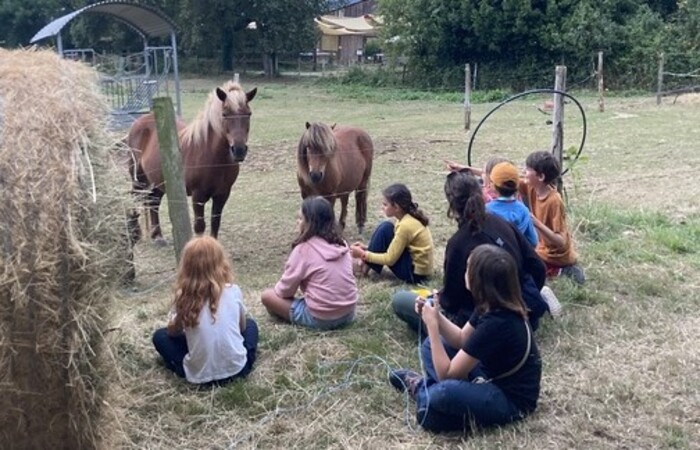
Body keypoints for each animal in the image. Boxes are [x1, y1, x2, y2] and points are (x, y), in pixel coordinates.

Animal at [127, 81, 256, 243]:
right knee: (136, 199)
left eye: (249, 114)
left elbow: (215, 222)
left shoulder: (222, 194)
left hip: (158, 180)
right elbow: (200, 226)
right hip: (138, 178)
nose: (239, 150)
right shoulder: (197, 195)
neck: (213, 157)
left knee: (153, 201)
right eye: (225, 114)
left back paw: (158, 236)